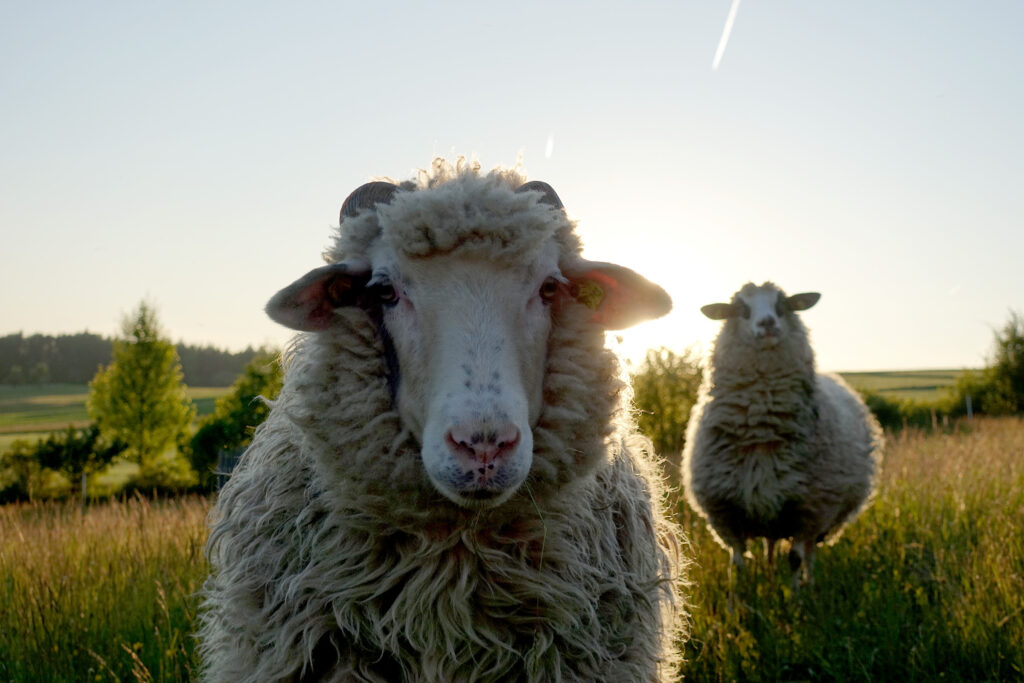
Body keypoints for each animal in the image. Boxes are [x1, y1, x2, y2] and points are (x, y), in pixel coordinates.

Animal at [679, 280, 880, 585]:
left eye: (783, 305)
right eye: (740, 309)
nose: (767, 324)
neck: (761, 430)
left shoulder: (809, 510)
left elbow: (795, 559)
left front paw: (796, 596)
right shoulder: (726, 512)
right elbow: (737, 563)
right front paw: (739, 595)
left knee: (809, 554)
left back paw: (810, 584)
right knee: (769, 545)